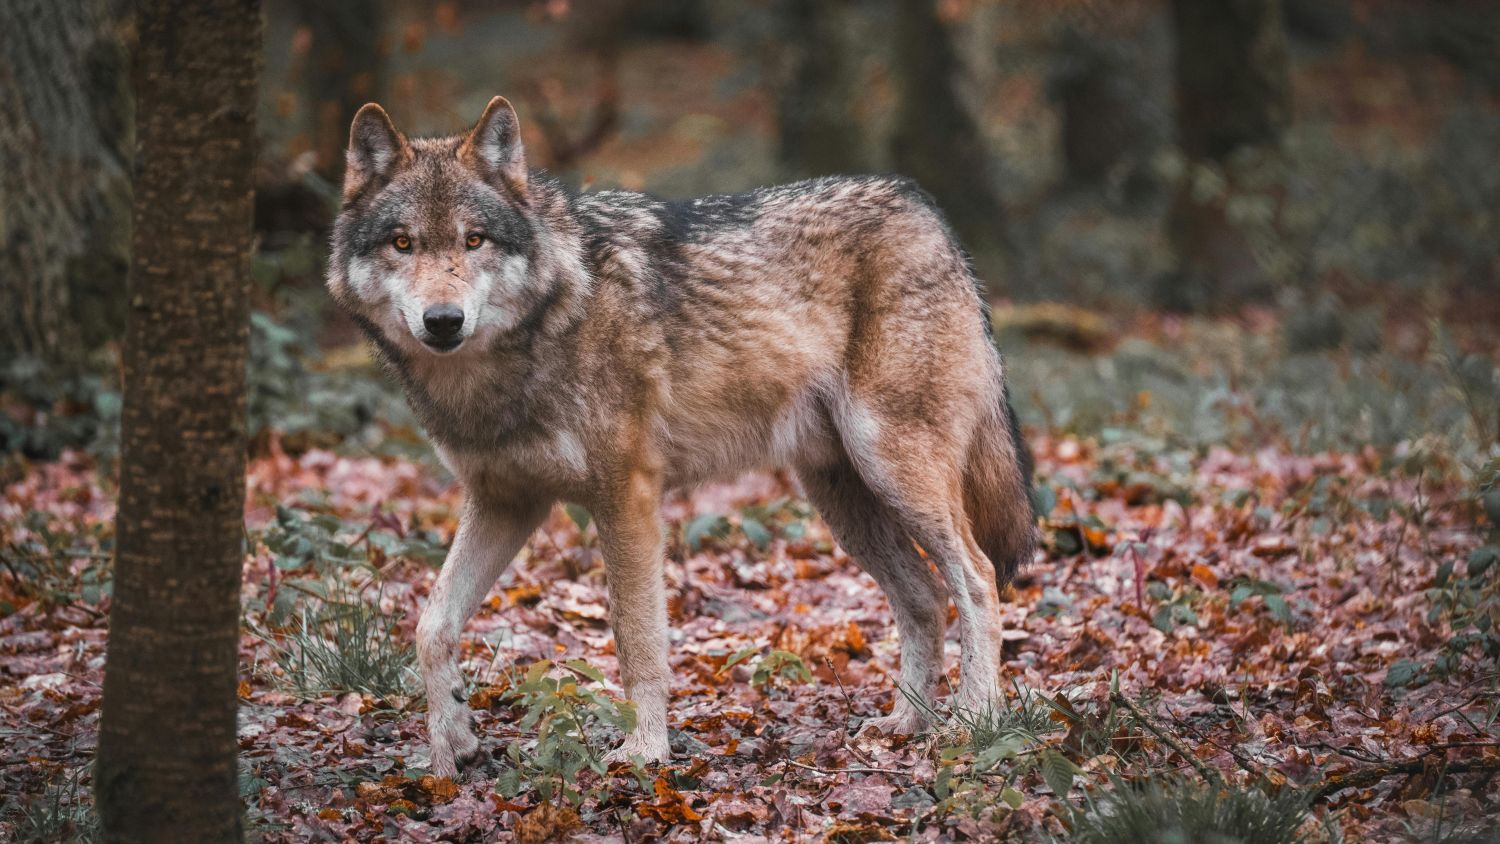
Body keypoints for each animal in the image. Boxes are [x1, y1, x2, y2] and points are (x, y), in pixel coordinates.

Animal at [326, 96, 1036, 776]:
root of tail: (926, 210)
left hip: (891, 469)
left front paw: (645, 751)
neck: (548, 321)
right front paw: (452, 743)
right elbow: (431, 626)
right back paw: (905, 723)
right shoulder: (507, 501)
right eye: (402, 244)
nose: (443, 321)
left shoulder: (627, 496)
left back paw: (972, 721)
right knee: (924, 599)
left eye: (473, 240)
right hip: (844, 499)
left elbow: (636, 639)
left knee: (976, 579)